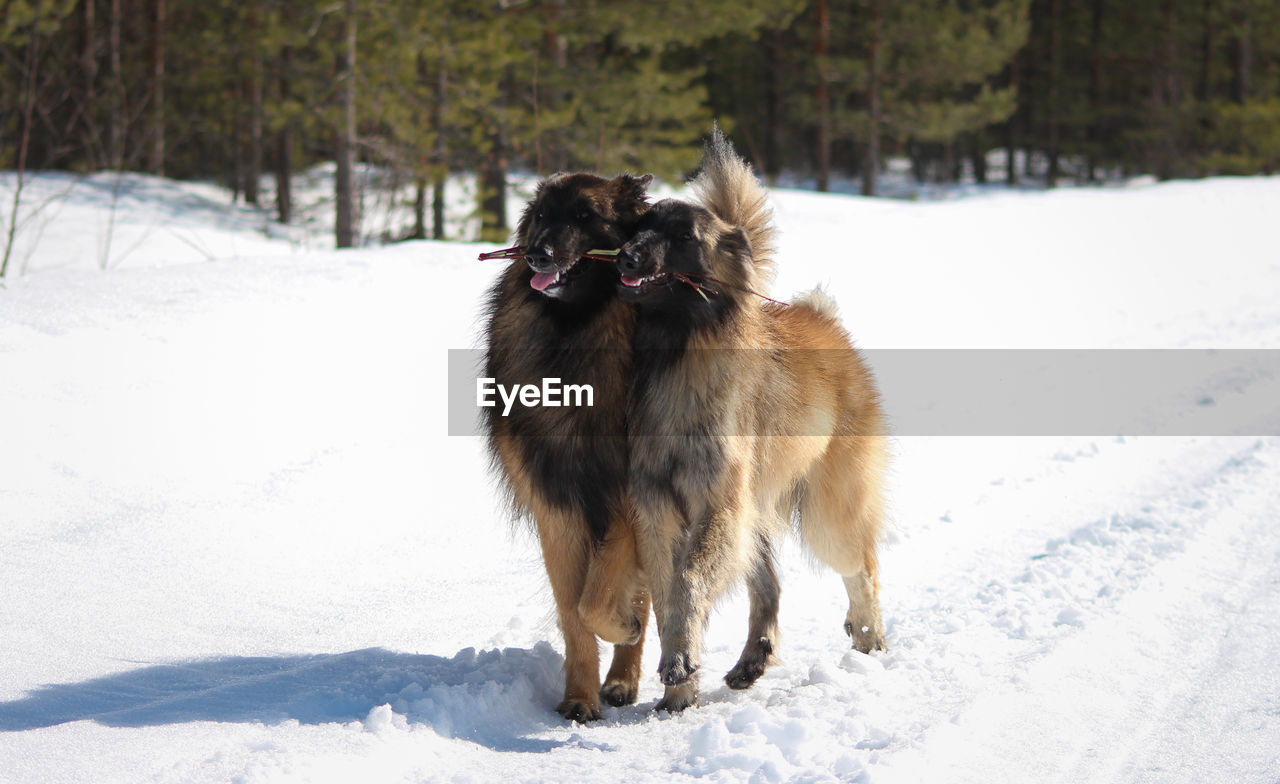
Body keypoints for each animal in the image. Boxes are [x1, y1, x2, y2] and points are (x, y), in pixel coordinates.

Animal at [483, 171, 655, 722]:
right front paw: (579, 697)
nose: (537, 254)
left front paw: (623, 629)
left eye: (585, 216)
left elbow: (597, 602)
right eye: (541, 215)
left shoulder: (621, 507)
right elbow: (573, 612)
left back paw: (624, 677)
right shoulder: (558, 512)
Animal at [614, 131, 885, 712]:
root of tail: (825, 321)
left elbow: (690, 580)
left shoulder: (717, 504)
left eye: (683, 236)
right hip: (755, 510)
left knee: (863, 567)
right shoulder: (659, 509)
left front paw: (680, 661)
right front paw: (679, 688)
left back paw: (870, 636)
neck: (679, 353)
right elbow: (670, 591)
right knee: (769, 589)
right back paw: (752, 659)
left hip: (827, 510)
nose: (626, 255)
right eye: (639, 226)